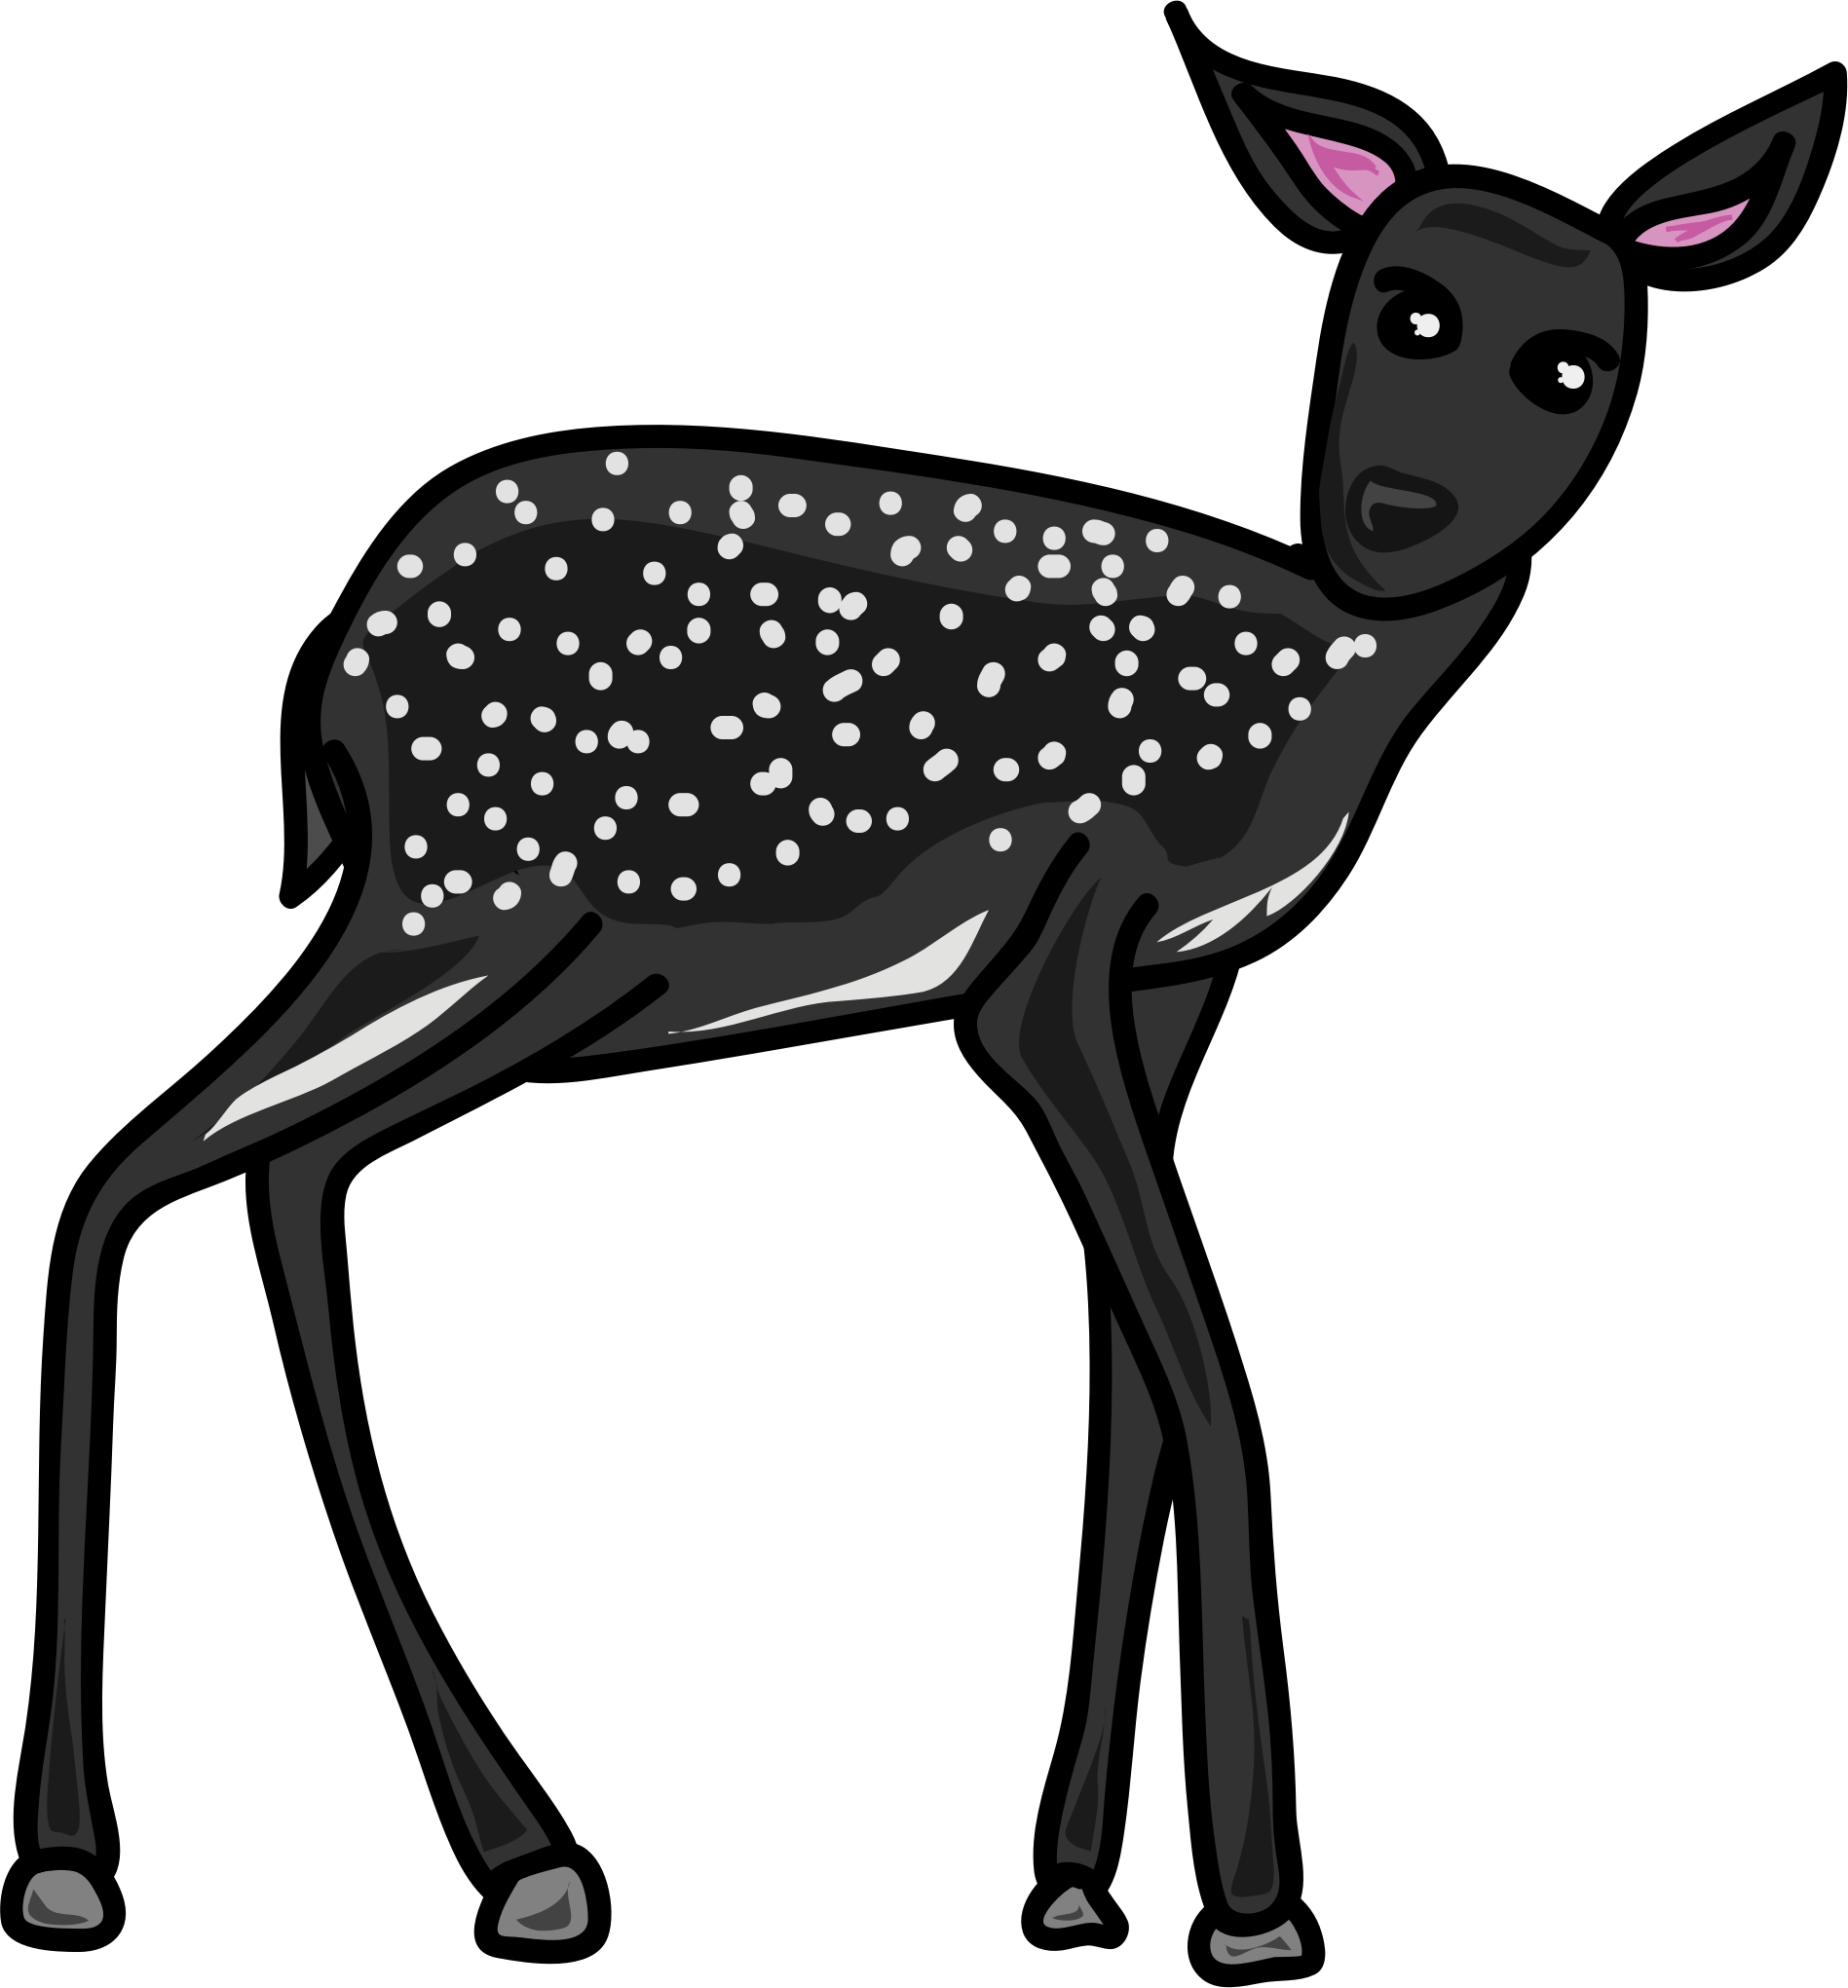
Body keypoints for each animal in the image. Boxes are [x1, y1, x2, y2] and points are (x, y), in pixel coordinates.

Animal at [25, 72, 1821, 1959]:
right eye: (1399, 307)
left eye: (1574, 364)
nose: (1396, 509)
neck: (1318, 688)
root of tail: (343, 669)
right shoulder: (1054, 964)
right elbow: (1206, 1377)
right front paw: (1253, 1900)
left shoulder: (1179, 979)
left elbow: (1128, 1389)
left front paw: (1079, 1877)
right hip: (469, 889)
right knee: (135, 1175)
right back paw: (80, 1859)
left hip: (575, 959)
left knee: (281, 1173)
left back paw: (517, 1849)